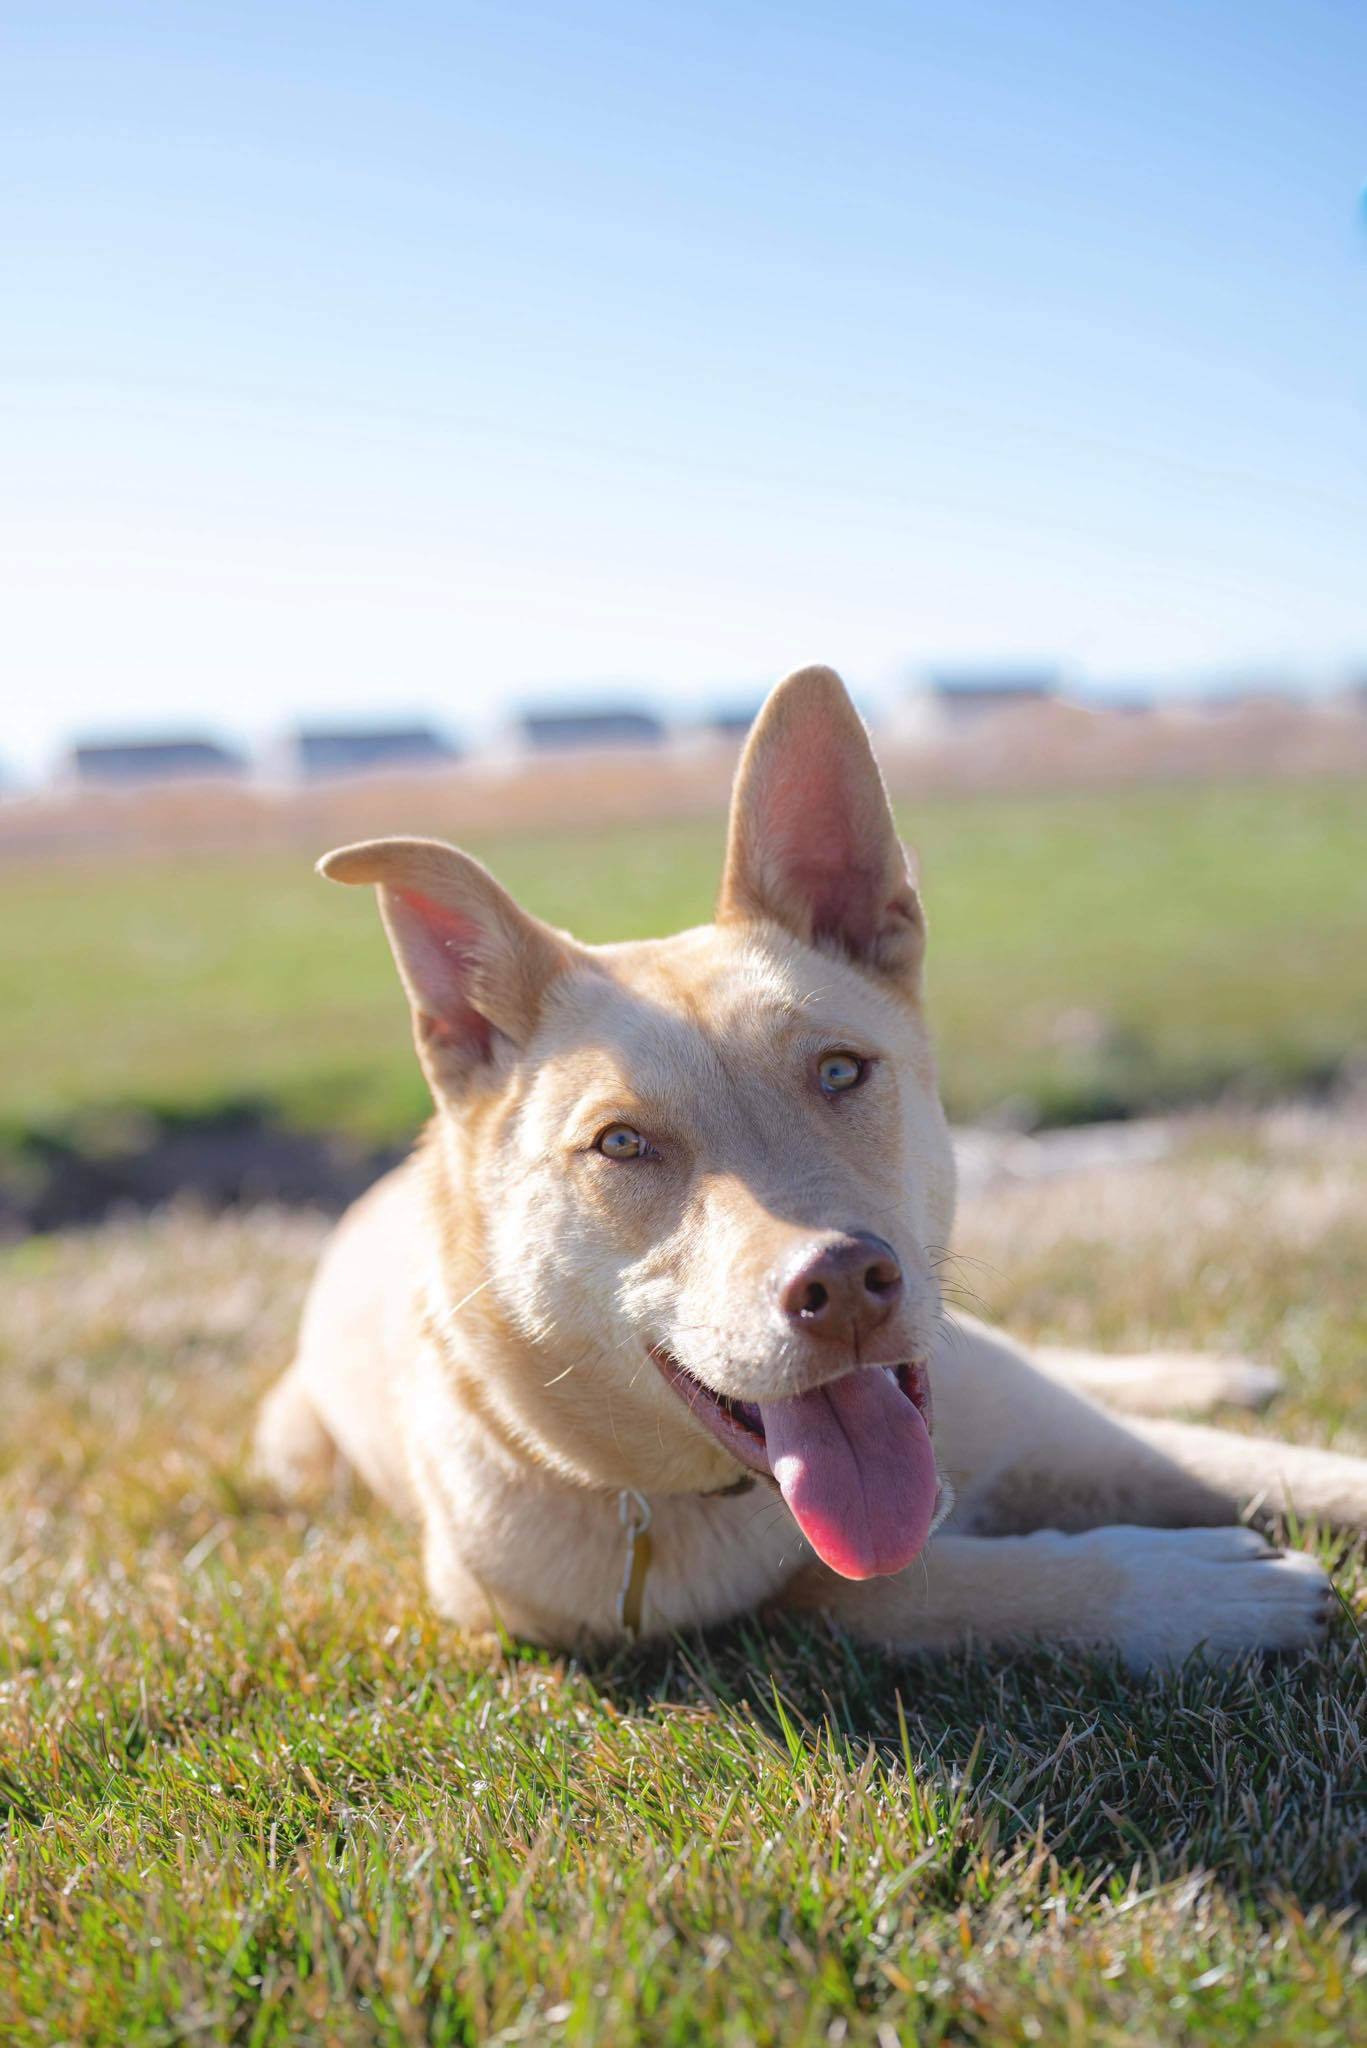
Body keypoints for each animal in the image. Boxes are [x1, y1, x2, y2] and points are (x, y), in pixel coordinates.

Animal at [256, 667, 1367, 1662]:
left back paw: (1204, 1372)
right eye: (620, 1143)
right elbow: (919, 1584)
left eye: (839, 1069)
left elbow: (1307, 1470)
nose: (841, 1286)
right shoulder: (732, 1605)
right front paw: (1181, 1589)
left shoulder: (1065, 1436)